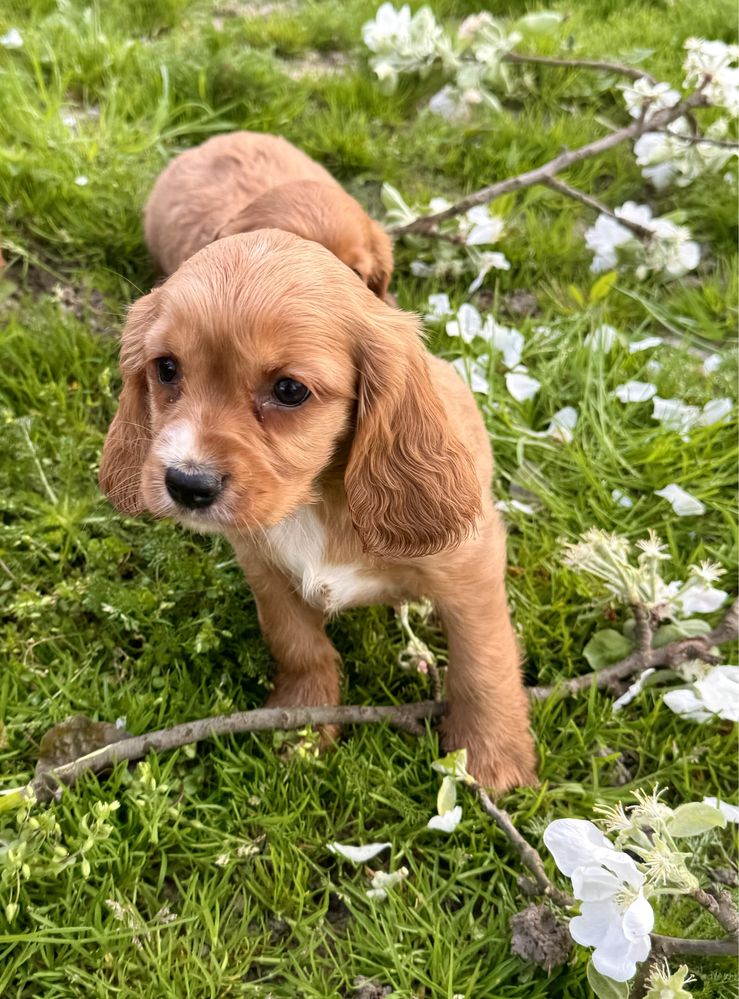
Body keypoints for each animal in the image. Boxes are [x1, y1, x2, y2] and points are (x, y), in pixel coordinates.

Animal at [99, 230, 536, 792]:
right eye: (167, 369)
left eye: (289, 390)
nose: (186, 483)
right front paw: (303, 729)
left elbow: (483, 661)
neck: (317, 500)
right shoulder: (263, 567)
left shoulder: (470, 570)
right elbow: (297, 643)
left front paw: (491, 754)